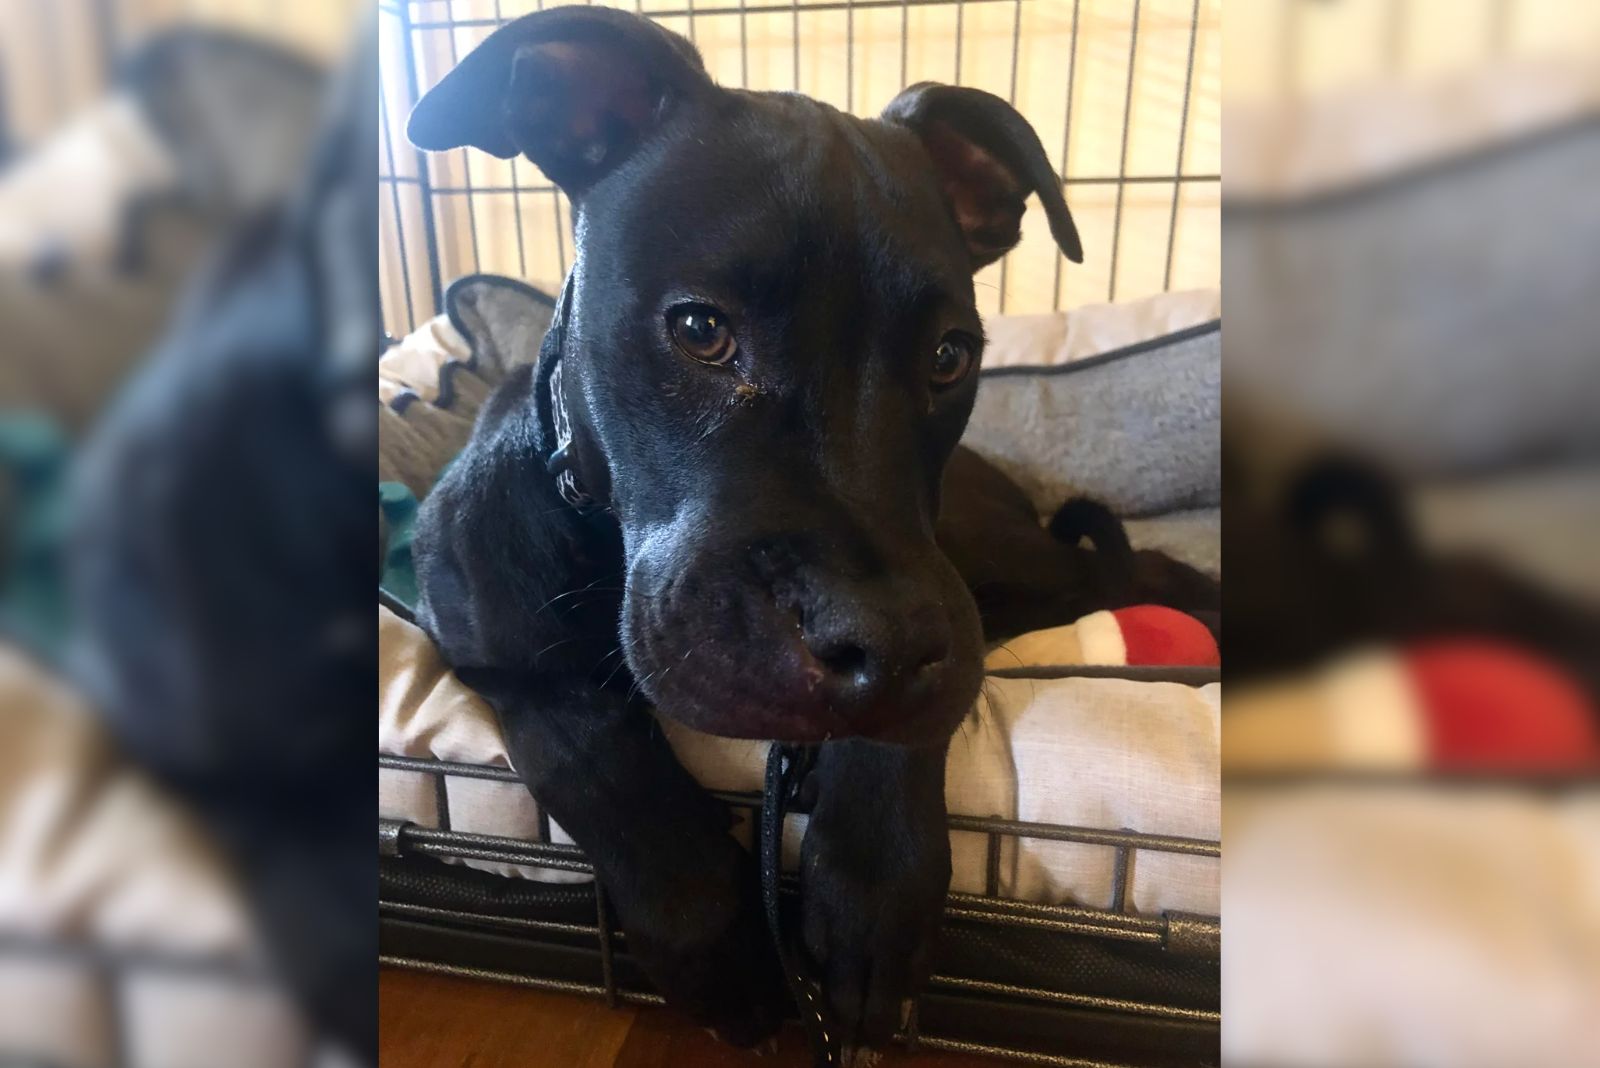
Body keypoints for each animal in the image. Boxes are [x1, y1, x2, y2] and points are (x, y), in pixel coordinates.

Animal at [409, 2, 1209, 1048]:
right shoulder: (500, 653)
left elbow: (907, 722)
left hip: (1020, 563)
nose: (880, 644)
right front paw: (718, 940)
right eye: (700, 329)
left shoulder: (936, 614)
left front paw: (873, 895)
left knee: (1137, 569)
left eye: (950, 355)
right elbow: (593, 763)